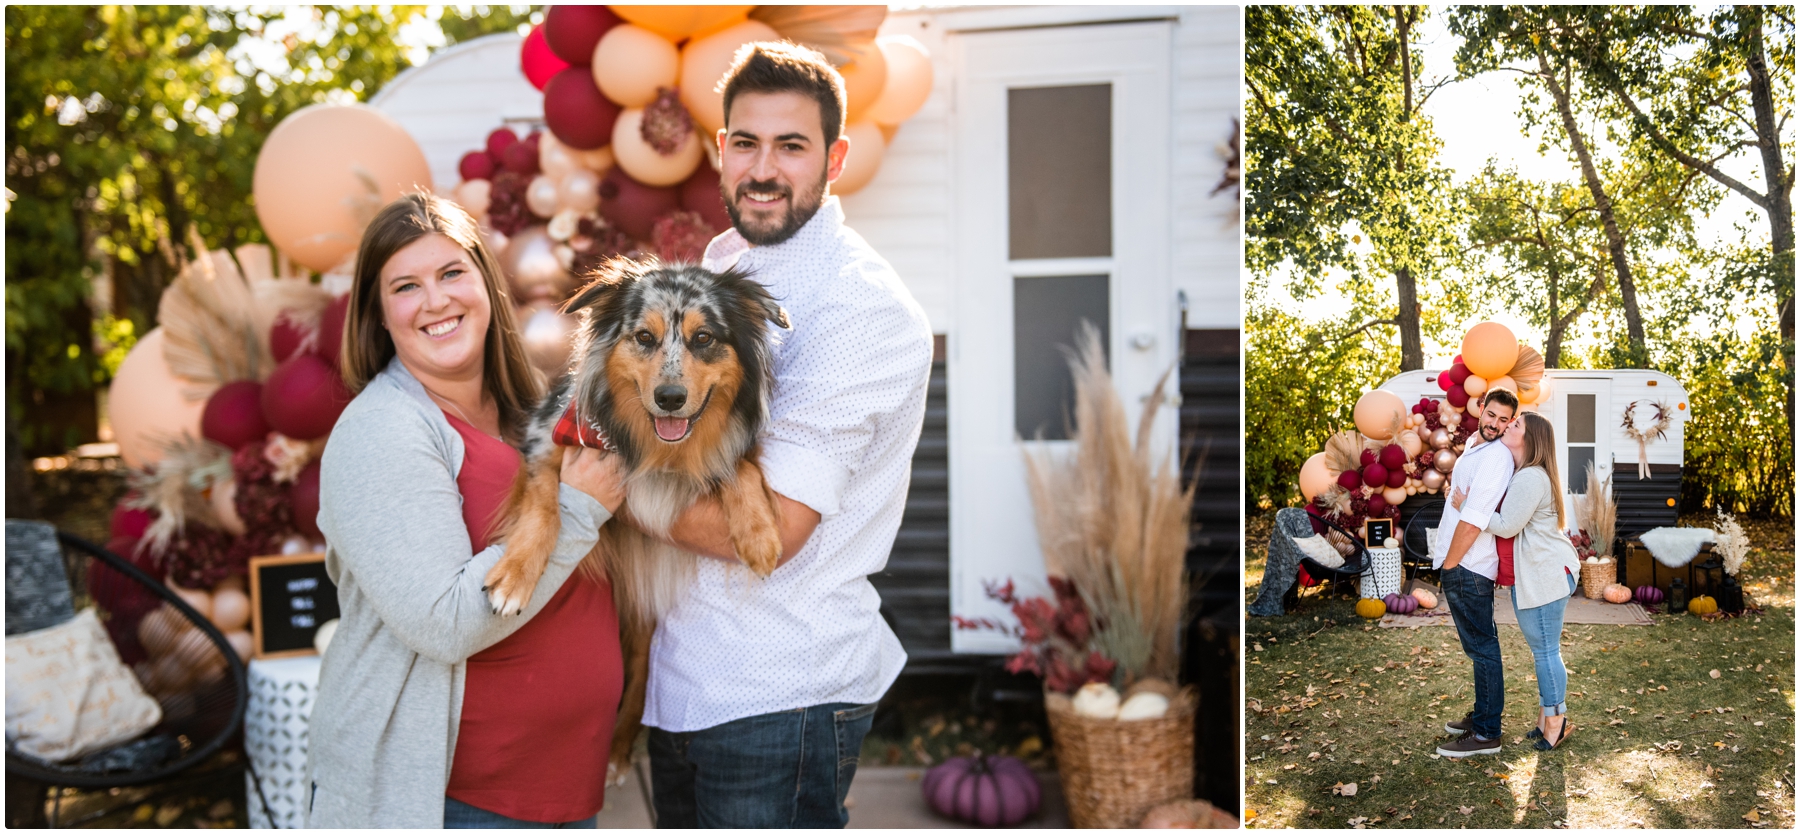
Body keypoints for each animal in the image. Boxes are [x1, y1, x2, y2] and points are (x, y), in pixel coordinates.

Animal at [486, 257, 788, 781]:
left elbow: (740, 467)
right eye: (644, 337)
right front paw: (515, 578)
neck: (657, 449)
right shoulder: (545, 442)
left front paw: (758, 535)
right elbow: (544, 504)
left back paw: (620, 747)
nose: (669, 397)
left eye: (704, 337)